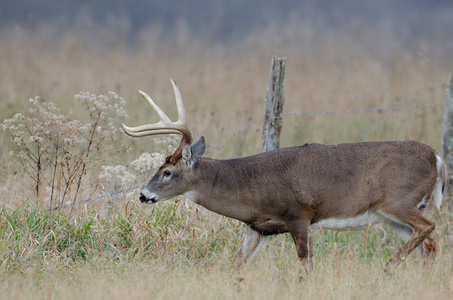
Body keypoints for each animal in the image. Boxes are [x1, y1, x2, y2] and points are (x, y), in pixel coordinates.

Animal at [122, 80, 444, 272]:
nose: (143, 195)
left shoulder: (299, 214)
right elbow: (238, 266)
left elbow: (306, 266)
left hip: (398, 201)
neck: (249, 188)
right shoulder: (258, 227)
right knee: (429, 243)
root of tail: (438, 159)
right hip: (392, 215)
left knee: (428, 228)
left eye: (167, 172)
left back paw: (388, 267)